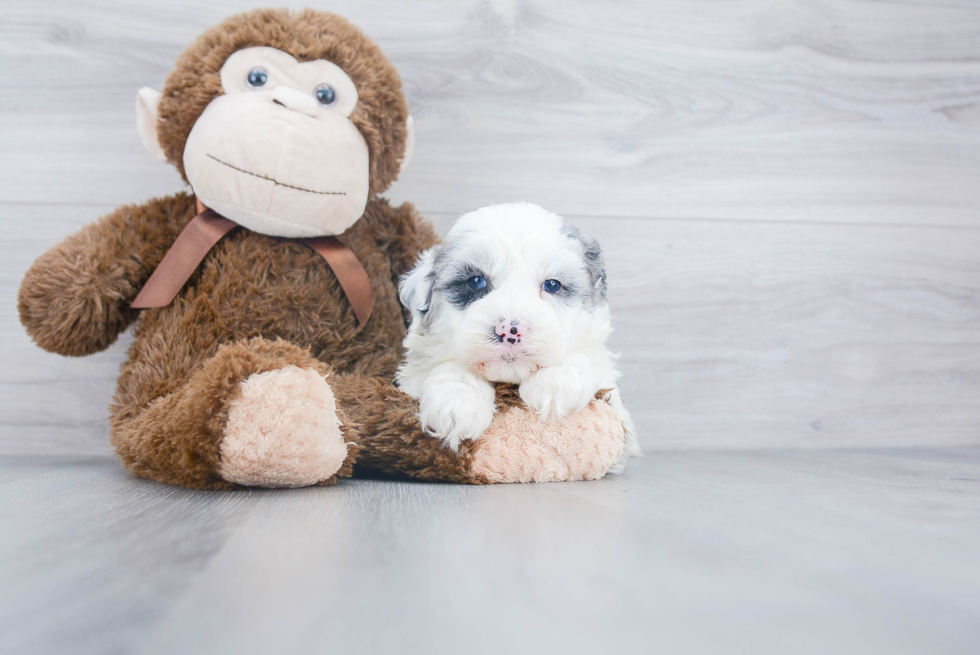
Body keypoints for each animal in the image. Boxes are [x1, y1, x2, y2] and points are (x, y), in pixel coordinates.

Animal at [398, 201, 644, 466]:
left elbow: (587, 358)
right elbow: (450, 368)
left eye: (552, 285)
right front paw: (456, 402)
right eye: (475, 282)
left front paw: (556, 381)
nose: (510, 330)